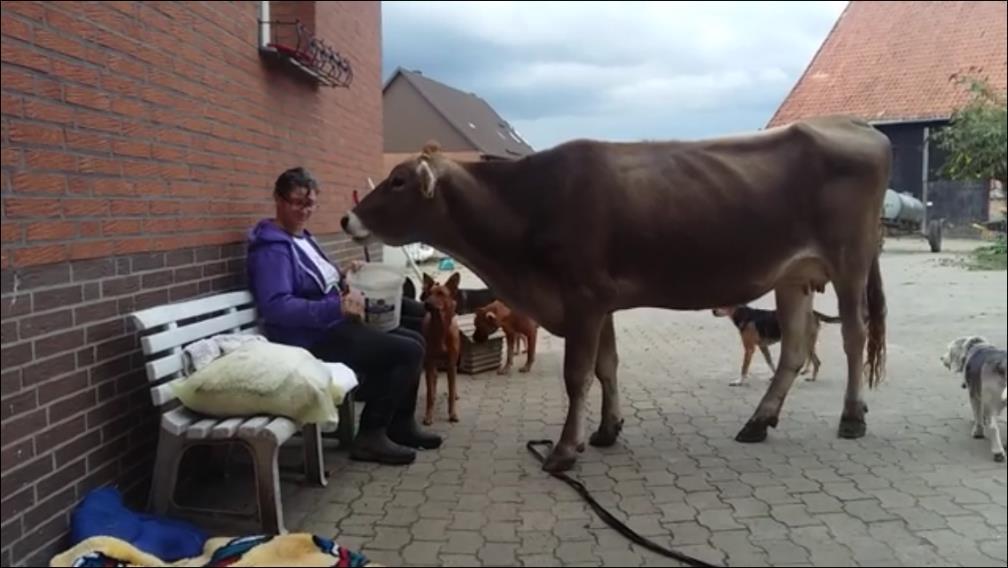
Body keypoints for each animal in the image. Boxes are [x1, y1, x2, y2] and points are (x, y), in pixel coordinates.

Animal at [419, 272, 461, 423]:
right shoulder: (430, 362)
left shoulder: (451, 362)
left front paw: (453, 414)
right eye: (429, 293)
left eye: (441, 293)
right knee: (434, 378)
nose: (426, 303)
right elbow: (429, 394)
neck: (440, 328)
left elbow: (451, 390)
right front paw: (428, 415)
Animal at [713, 306, 846, 387]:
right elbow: (770, 362)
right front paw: (774, 377)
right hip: (807, 341)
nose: (713, 311)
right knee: (811, 358)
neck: (743, 314)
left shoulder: (749, 349)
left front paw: (739, 382)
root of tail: (814, 312)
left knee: (817, 361)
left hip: (806, 342)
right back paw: (806, 371)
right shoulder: (763, 347)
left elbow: (744, 368)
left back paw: (812, 378)